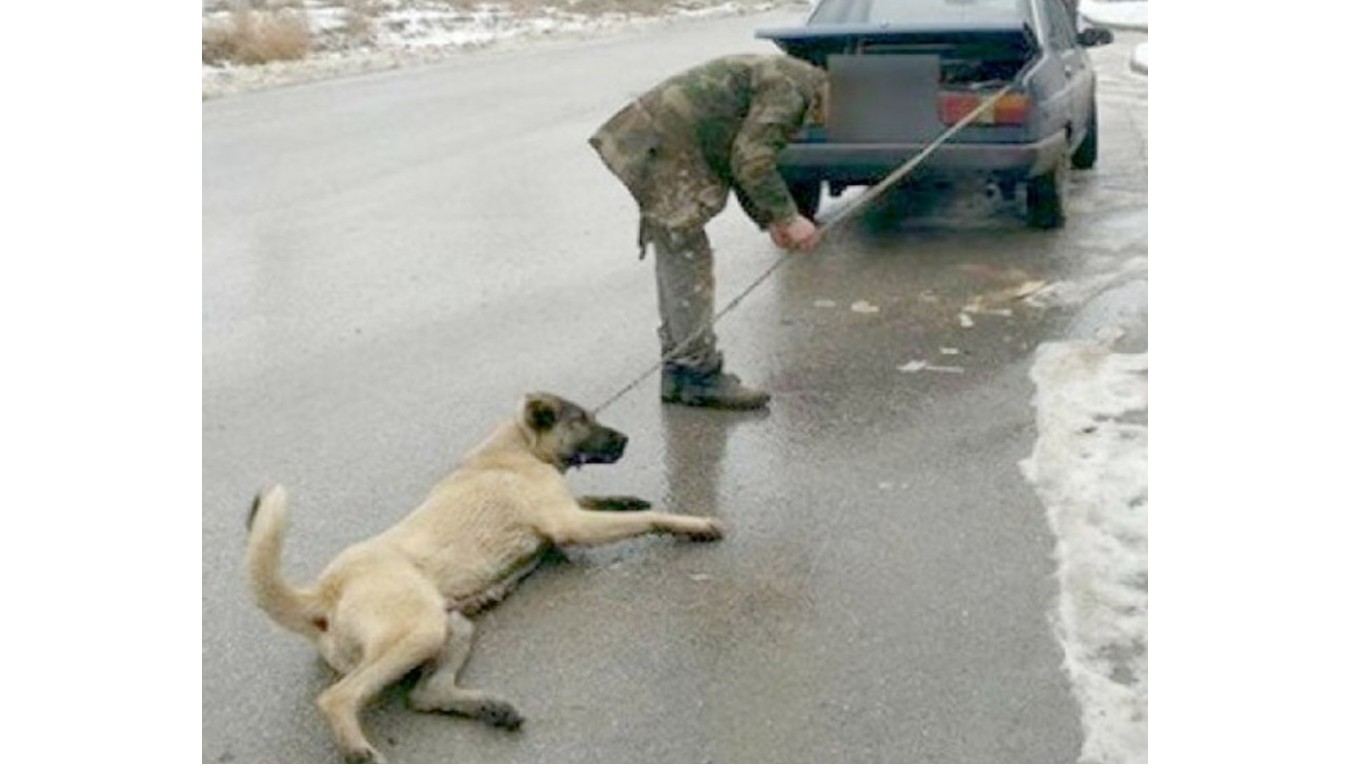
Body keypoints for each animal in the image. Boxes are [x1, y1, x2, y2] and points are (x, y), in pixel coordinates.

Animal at [243, 390, 726, 759]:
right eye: (582, 419)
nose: (625, 438)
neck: (517, 446)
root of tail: (324, 592)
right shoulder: (568, 524)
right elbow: (648, 518)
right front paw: (694, 523)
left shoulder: (568, 513)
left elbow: (602, 499)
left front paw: (627, 498)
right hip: (418, 629)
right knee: (338, 696)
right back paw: (358, 750)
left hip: (451, 626)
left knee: (426, 693)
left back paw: (490, 708)